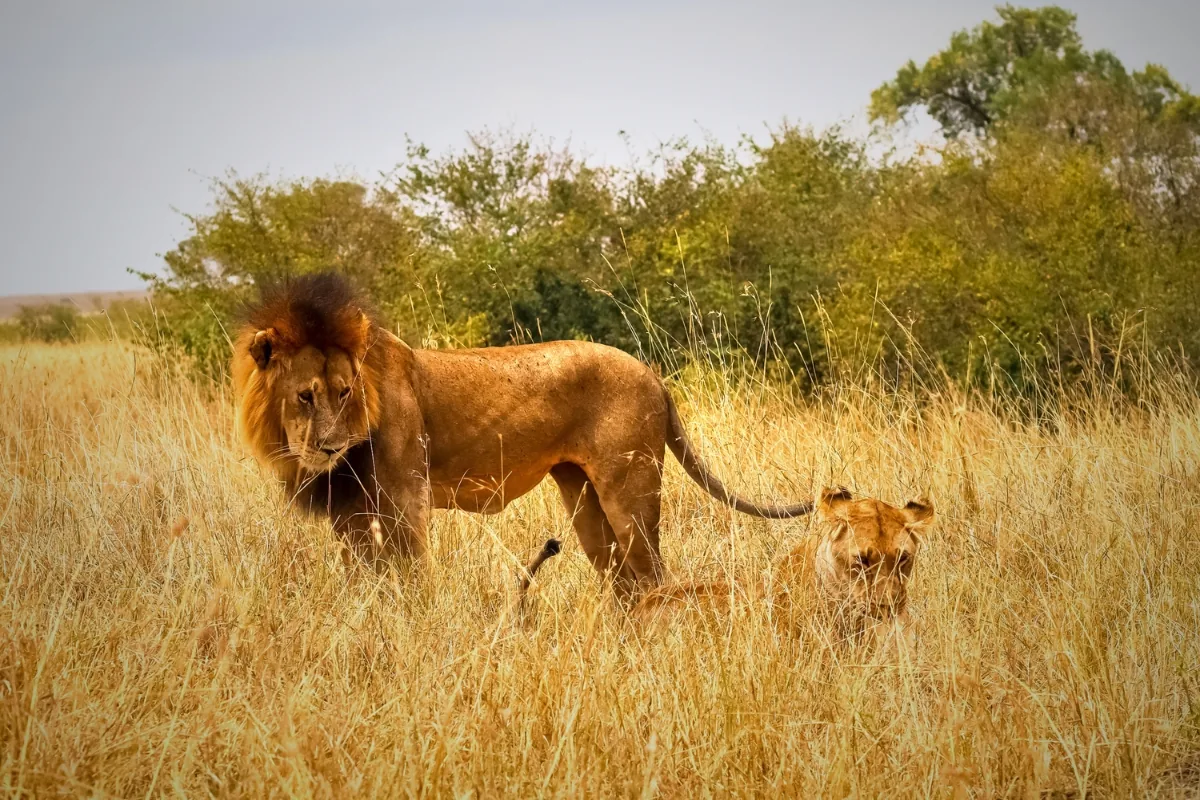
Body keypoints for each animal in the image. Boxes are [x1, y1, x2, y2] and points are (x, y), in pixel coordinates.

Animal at [231, 272, 813, 597]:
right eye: (305, 395)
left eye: (345, 391)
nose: (331, 447)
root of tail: (653, 375)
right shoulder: (349, 512)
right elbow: (365, 581)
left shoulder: (404, 497)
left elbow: (412, 577)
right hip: (583, 499)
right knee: (622, 579)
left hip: (631, 488)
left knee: (651, 574)